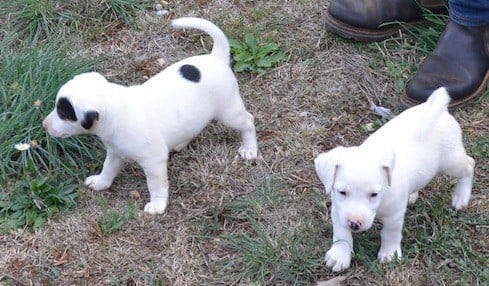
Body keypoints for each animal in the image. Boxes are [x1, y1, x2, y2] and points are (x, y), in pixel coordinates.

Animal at [42, 17, 258, 214]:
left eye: (63, 112)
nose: (44, 124)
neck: (115, 110)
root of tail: (216, 57)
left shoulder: (154, 161)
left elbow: (156, 185)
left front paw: (157, 206)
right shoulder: (115, 152)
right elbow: (108, 168)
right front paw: (101, 182)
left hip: (229, 111)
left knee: (248, 121)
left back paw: (249, 149)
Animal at [312, 87, 472, 272]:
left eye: (374, 194)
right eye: (342, 192)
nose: (354, 224)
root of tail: (438, 108)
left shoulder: (394, 217)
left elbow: (390, 234)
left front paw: (390, 254)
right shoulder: (338, 210)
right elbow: (341, 233)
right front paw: (340, 254)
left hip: (451, 161)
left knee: (469, 165)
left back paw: (461, 197)